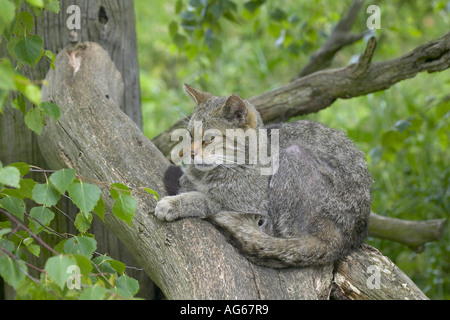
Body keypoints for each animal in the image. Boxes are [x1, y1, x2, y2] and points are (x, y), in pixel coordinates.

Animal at [155, 84, 372, 268]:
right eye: (190, 135)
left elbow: (203, 200)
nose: (190, 153)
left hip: (292, 156)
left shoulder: (248, 204)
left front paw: (173, 204)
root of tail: (348, 238)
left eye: (209, 139)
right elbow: (187, 186)